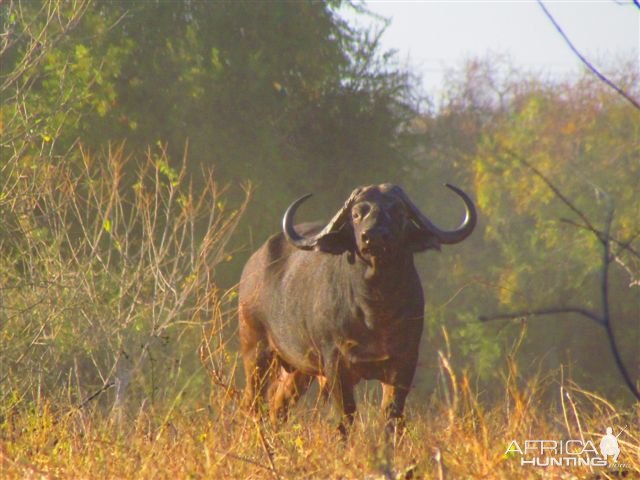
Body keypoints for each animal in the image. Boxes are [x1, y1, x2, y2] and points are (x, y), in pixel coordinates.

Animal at [239, 183, 476, 432]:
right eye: (355, 214)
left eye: (398, 212)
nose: (373, 237)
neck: (374, 310)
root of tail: (253, 265)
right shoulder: (335, 364)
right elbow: (345, 417)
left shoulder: (404, 362)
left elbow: (392, 417)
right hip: (256, 351)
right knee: (253, 403)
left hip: (298, 367)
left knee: (279, 405)